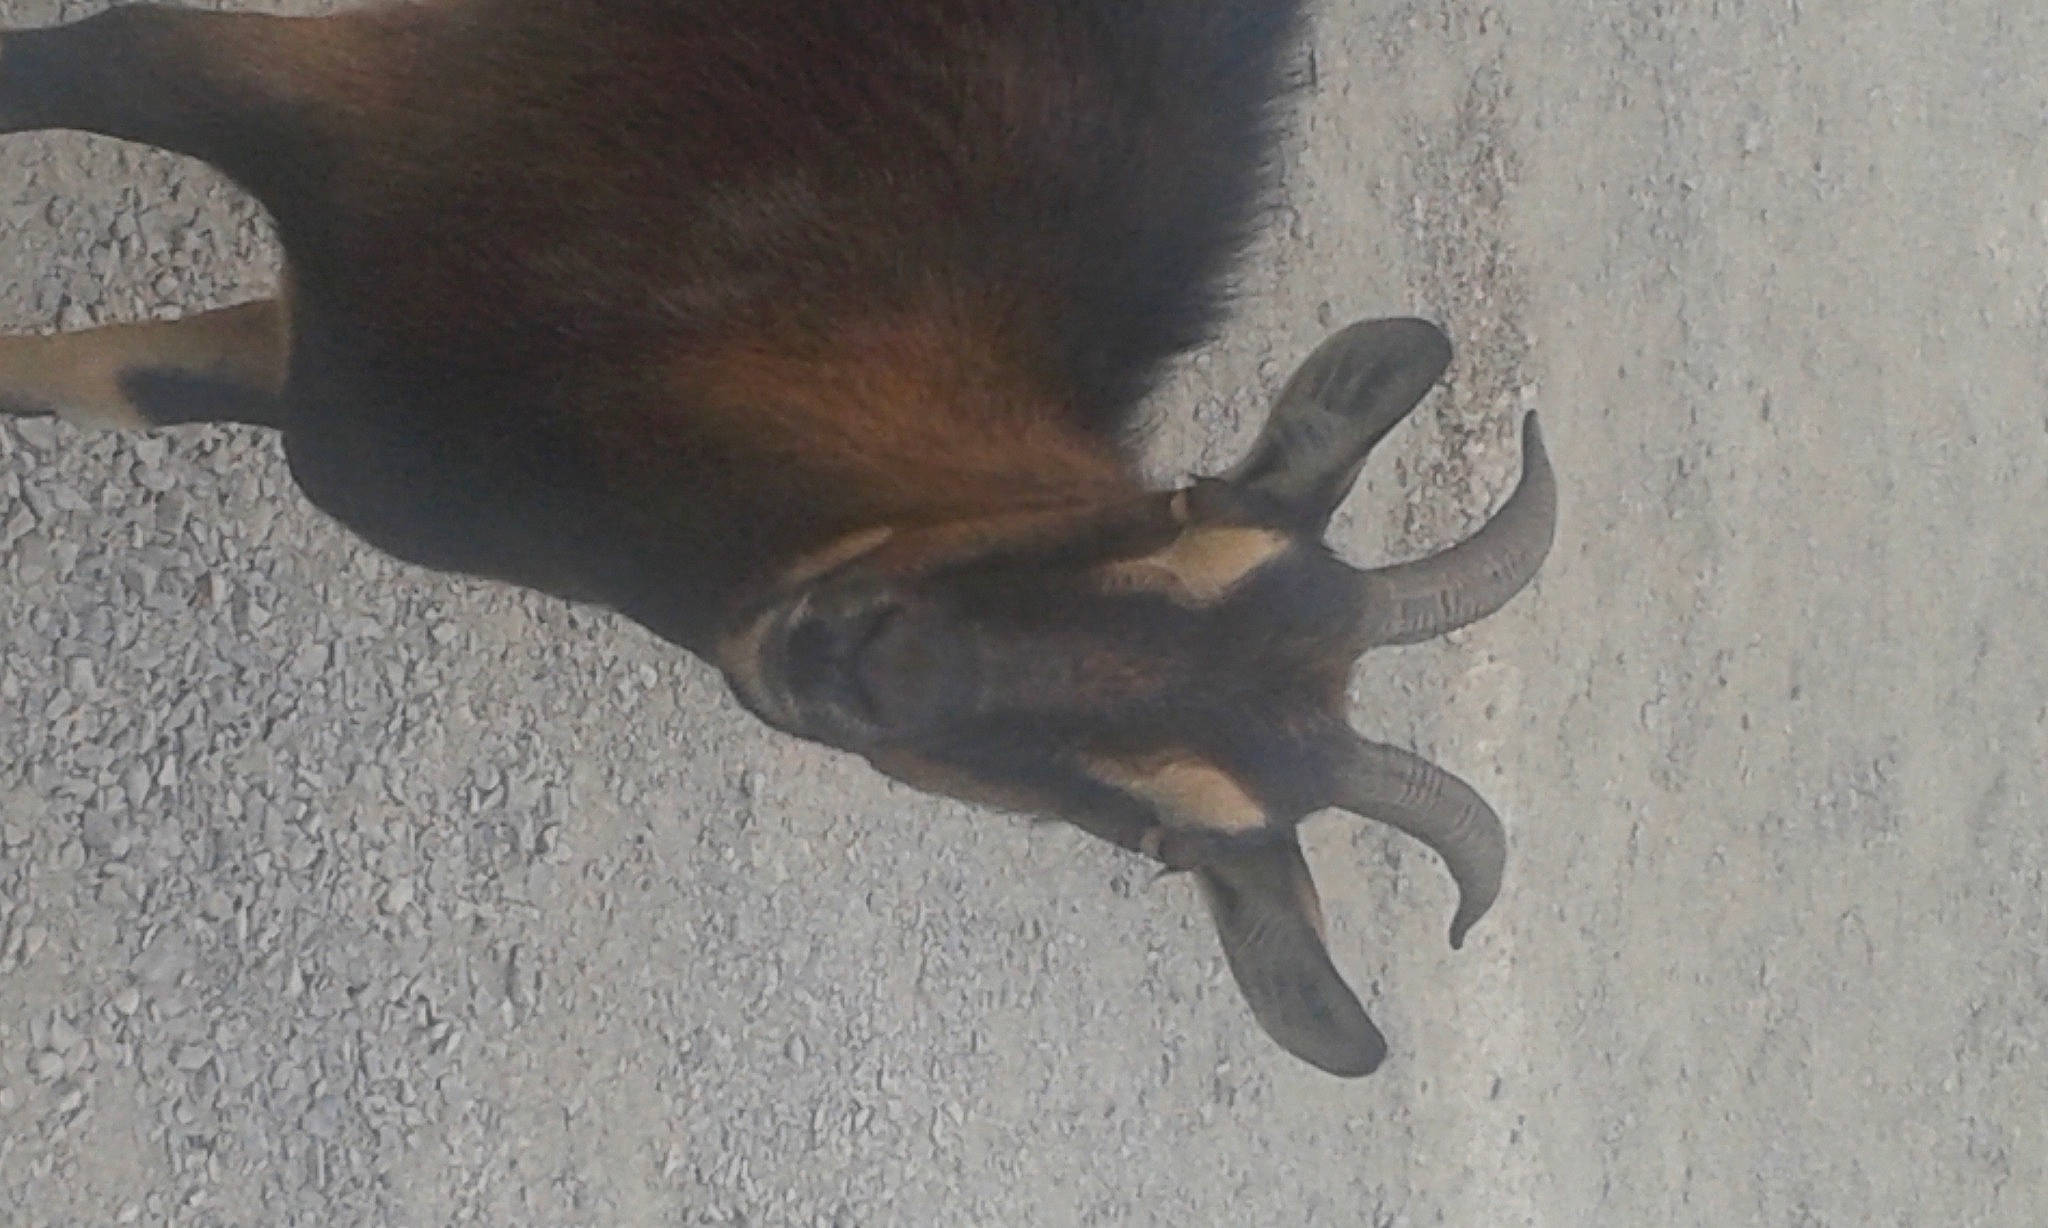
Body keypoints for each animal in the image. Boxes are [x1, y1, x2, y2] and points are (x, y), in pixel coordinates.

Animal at [0, 0, 1554, 1077]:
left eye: (1160, 841)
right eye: (1179, 507)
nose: (855, 663)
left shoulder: (333, 382)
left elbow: (98, 385)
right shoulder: (335, 96)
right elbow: (88, 65)